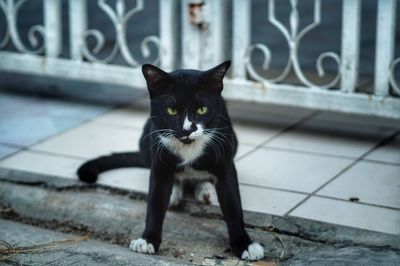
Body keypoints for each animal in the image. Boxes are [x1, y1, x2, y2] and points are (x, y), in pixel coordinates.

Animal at [77, 61, 266, 260]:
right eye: (171, 110)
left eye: (202, 109)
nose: (187, 129)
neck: (188, 147)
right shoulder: (160, 165)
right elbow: (155, 202)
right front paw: (148, 239)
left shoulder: (226, 165)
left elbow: (233, 205)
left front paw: (245, 244)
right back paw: (175, 192)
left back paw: (205, 190)